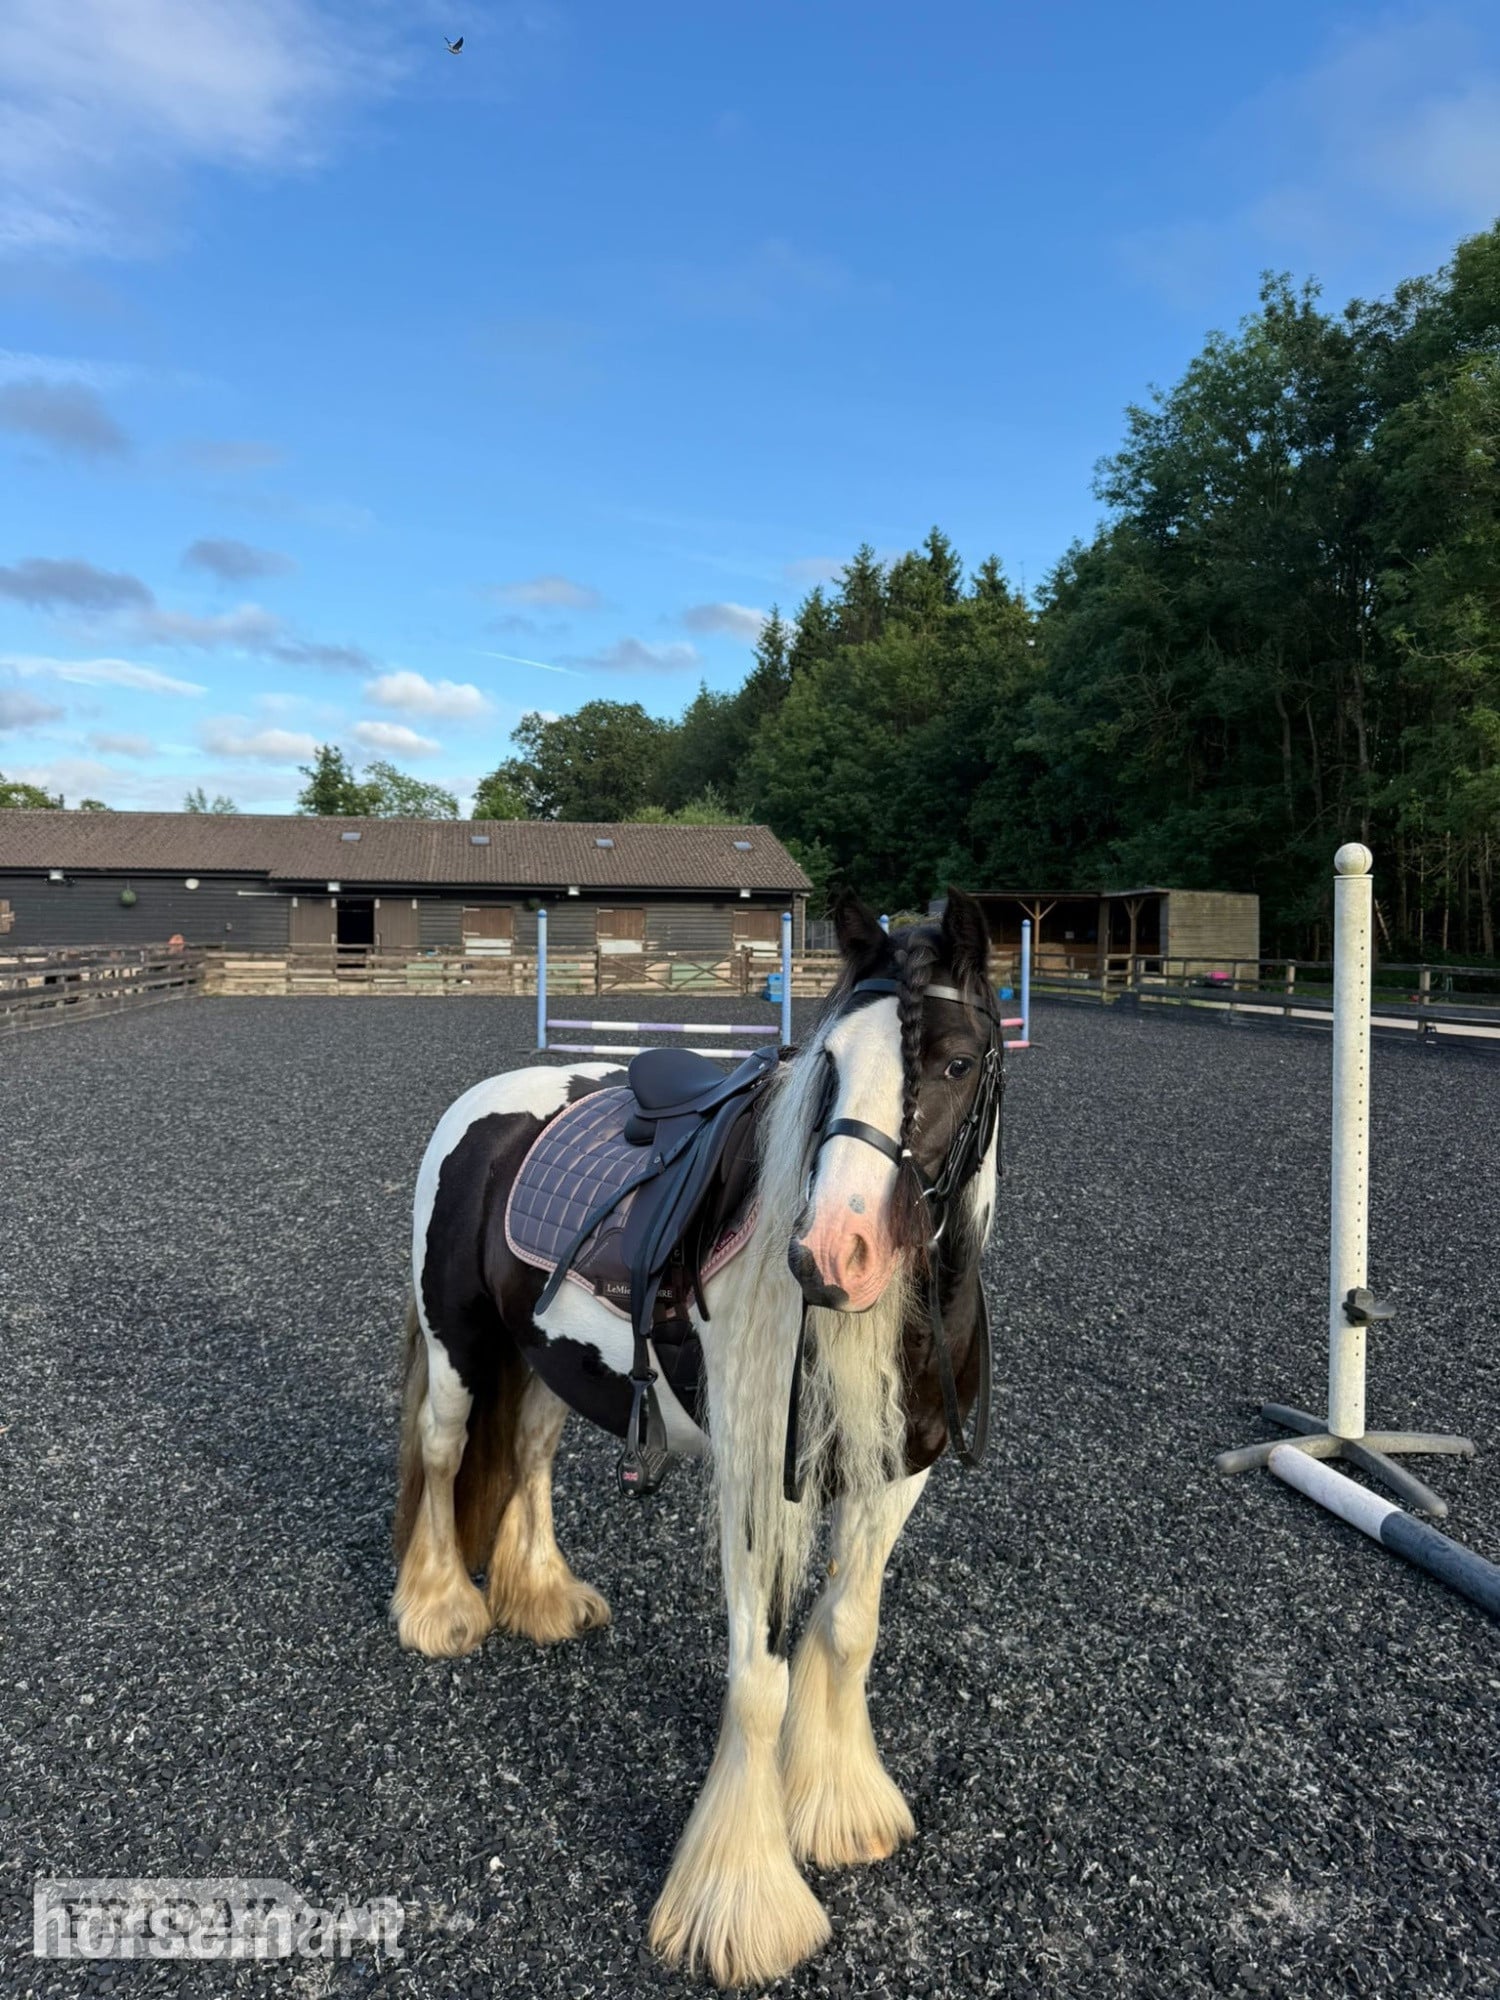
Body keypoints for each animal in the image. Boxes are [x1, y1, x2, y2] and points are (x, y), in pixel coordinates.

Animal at [391, 888, 1003, 1986]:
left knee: (531, 1454)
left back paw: (543, 1597)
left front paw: (841, 1810)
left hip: (548, 1361)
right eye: (830, 1063)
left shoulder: (897, 1473)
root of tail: (486, 1101)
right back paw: (441, 1609)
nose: (829, 1254)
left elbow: (846, 1630)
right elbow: (758, 1679)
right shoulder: (758, 1484)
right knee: (444, 1453)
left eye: (958, 1062)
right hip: (459, 1348)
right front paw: (742, 1904)